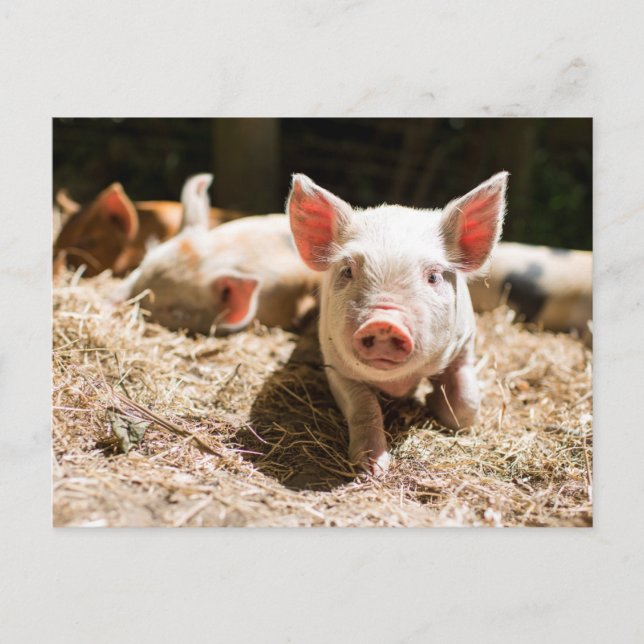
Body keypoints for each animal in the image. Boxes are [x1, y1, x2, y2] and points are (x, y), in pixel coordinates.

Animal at [287, 172, 508, 474]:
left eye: (434, 276)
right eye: (348, 271)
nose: (384, 322)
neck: (398, 383)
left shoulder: (465, 344)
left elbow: (466, 405)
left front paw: (435, 403)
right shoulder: (335, 365)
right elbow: (365, 408)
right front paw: (371, 469)